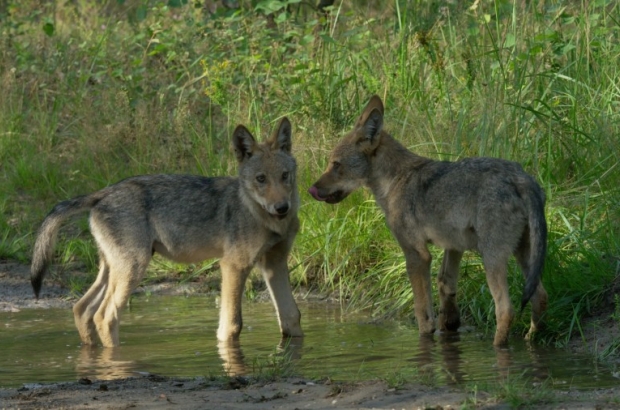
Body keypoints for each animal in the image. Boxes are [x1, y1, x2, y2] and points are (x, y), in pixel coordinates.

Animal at [31, 117, 302, 348]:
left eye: (285, 176)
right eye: (261, 179)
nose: (282, 208)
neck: (264, 217)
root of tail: (102, 193)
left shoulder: (274, 263)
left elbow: (292, 317)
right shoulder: (233, 265)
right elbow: (232, 326)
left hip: (113, 270)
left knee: (81, 308)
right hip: (133, 269)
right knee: (105, 317)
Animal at [308, 96, 548, 346]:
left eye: (336, 165)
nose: (311, 189)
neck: (394, 181)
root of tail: (521, 178)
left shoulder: (417, 255)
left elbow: (422, 312)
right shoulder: (454, 246)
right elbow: (445, 287)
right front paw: (449, 326)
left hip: (492, 258)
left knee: (506, 309)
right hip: (524, 255)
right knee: (541, 297)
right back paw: (532, 339)